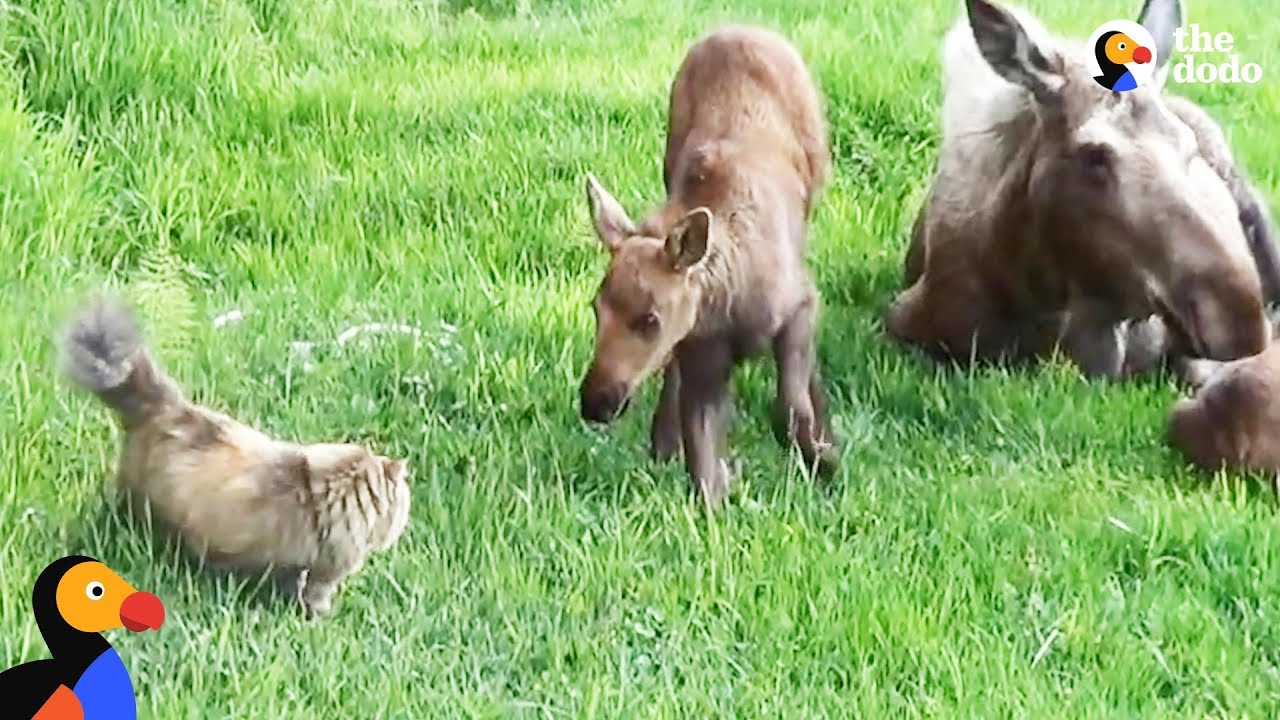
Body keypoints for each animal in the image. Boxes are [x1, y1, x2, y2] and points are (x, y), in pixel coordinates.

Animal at [577, 24, 838, 508]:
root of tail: (738, 27)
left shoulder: (801, 303)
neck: (726, 305)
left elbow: (789, 411)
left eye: (650, 318)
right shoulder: (701, 355)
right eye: (595, 309)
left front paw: (823, 460)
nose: (596, 402)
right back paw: (662, 439)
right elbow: (702, 472)